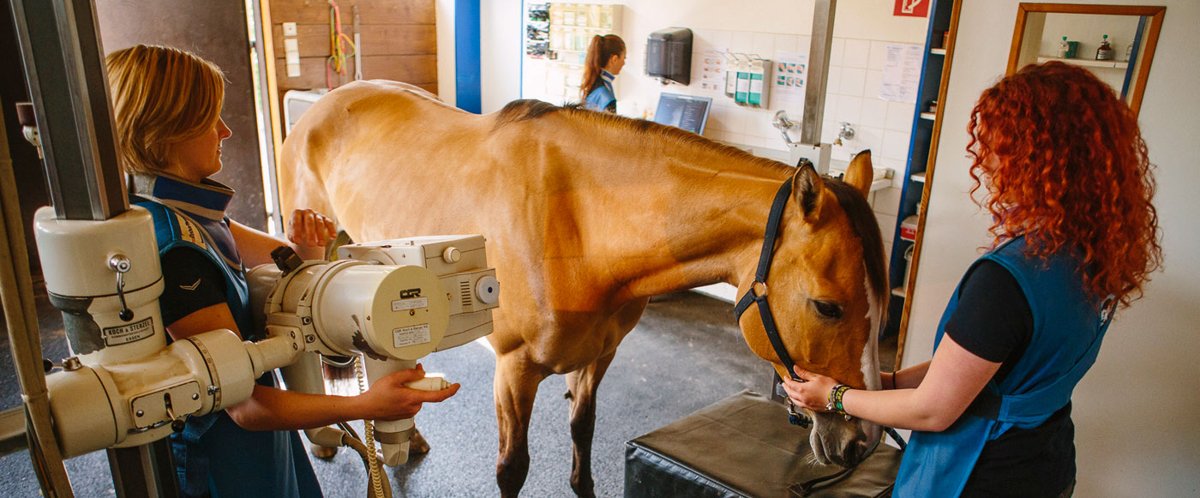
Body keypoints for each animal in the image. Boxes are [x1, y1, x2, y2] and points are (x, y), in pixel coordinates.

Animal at [276, 79, 888, 496]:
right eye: (828, 307)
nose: (862, 442)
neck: (577, 222)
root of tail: (324, 104)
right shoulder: (514, 371)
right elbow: (512, 469)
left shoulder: (599, 356)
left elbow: (582, 432)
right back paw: (329, 438)